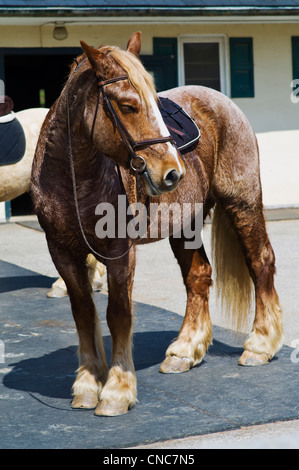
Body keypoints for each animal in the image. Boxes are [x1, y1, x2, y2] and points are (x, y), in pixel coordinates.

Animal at [30, 31, 284, 416]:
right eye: (127, 105)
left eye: (152, 98)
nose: (171, 172)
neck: (72, 179)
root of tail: (224, 102)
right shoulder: (62, 252)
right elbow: (84, 313)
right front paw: (88, 385)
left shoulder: (120, 254)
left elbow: (119, 314)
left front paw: (117, 390)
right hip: (185, 225)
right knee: (198, 276)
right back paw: (185, 350)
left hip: (242, 203)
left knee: (260, 262)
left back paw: (259, 345)